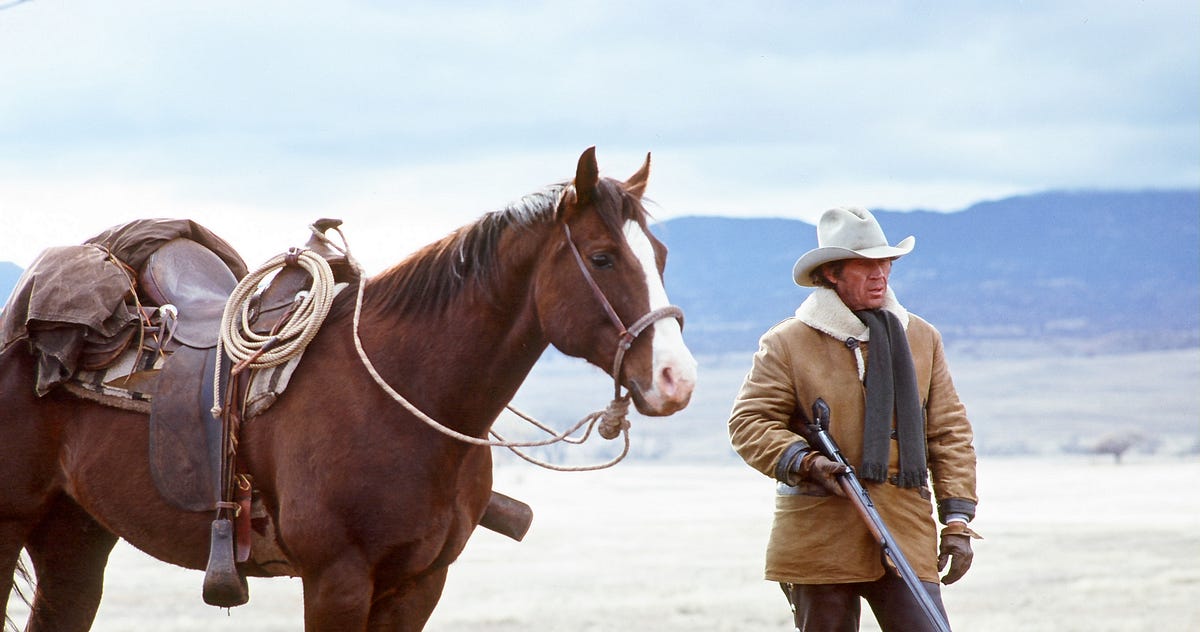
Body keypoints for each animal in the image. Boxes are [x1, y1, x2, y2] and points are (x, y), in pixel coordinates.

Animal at [0, 149, 700, 632]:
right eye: (603, 257)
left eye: (663, 257)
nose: (677, 379)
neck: (404, 400)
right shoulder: (337, 578)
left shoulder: (419, 584)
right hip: (12, 524)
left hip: (75, 535)